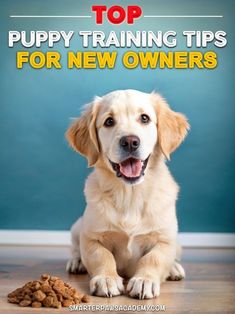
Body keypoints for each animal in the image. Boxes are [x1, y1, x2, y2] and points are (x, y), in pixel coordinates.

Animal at [65, 90, 189, 300]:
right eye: (109, 121)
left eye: (144, 118)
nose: (130, 142)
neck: (130, 195)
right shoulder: (91, 237)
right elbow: (102, 256)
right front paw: (106, 279)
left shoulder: (165, 238)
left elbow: (153, 258)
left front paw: (144, 280)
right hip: (77, 226)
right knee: (75, 248)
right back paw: (77, 262)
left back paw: (174, 268)